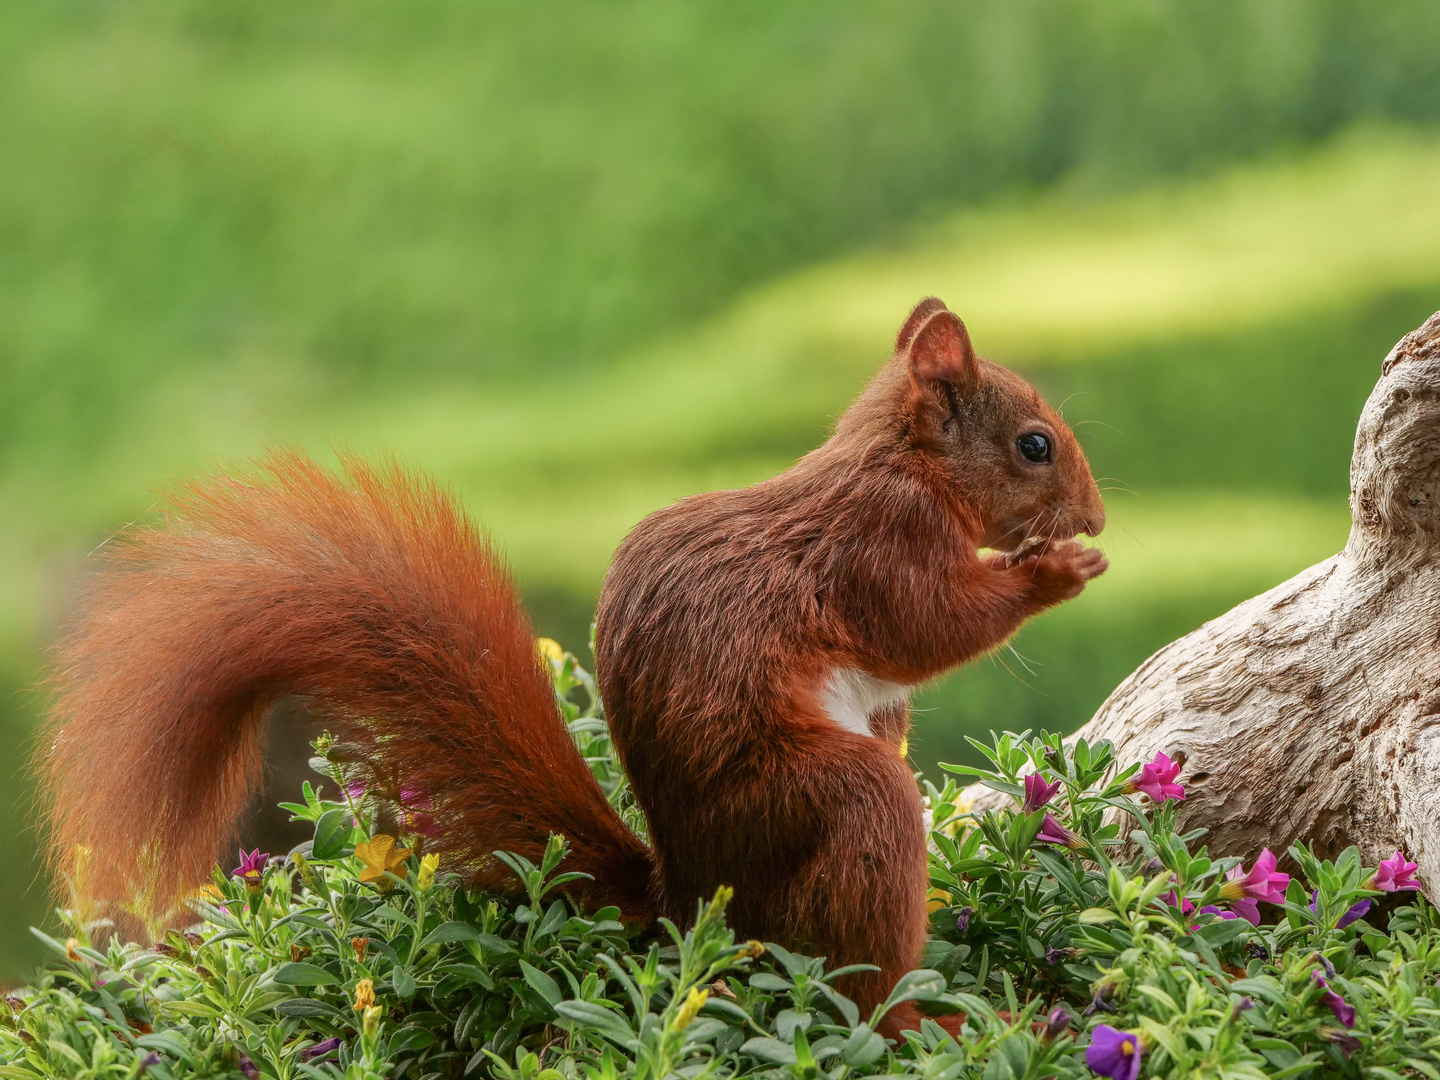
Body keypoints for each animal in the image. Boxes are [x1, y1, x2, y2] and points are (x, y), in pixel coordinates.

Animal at [42, 298, 1100, 1042]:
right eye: (1033, 445)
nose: (1093, 515)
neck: (900, 462)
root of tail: (691, 902)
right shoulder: (877, 545)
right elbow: (926, 626)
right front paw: (1053, 571)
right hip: (826, 801)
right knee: (853, 987)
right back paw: (931, 1023)